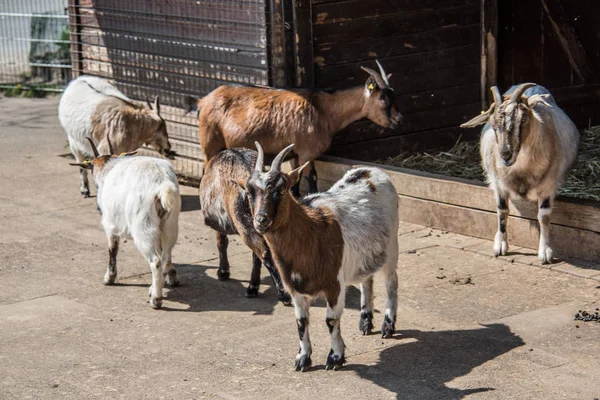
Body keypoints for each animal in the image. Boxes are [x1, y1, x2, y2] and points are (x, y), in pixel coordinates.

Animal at [69, 138, 180, 310]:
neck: (109, 167)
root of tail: (162, 185)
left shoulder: (110, 224)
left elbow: (112, 250)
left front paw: (109, 278)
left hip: (143, 226)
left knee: (155, 261)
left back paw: (156, 299)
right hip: (170, 224)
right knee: (166, 255)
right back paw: (156, 287)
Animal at [185, 60, 400, 195]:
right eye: (383, 99)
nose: (398, 119)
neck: (323, 109)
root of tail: (203, 101)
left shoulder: (296, 154)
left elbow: (295, 180)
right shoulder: (307, 152)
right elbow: (312, 177)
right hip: (210, 144)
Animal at [200, 148, 292, 306]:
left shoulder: (220, 221)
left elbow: (221, 242)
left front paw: (223, 272)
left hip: (243, 222)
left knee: (264, 253)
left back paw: (283, 294)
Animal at [233, 141, 398, 372]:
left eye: (281, 190)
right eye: (249, 192)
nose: (261, 220)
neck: (311, 231)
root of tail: (371, 170)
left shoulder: (334, 284)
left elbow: (331, 320)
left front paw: (335, 357)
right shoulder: (294, 288)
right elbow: (301, 322)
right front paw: (303, 358)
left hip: (392, 247)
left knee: (392, 283)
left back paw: (387, 326)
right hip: (365, 254)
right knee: (367, 280)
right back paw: (365, 321)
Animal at [462, 83, 580, 264]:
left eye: (523, 120)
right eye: (493, 125)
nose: (505, 154)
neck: (521, 171)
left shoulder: (548, 186)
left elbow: (544, 216)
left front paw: (545, 252)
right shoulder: (498, 184)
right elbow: (502, 210)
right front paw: (500, 245)